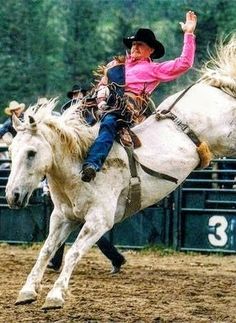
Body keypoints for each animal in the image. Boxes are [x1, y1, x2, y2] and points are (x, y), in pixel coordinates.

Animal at [5, 36, 236, 312]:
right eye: (11, 150)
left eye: (31, 153)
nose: (12, 196)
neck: (77, 167)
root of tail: (216, 86)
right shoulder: (63, 217)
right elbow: (47, 250)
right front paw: (27, 291)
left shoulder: (99, 221)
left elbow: (73, 252)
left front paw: (55, 295)